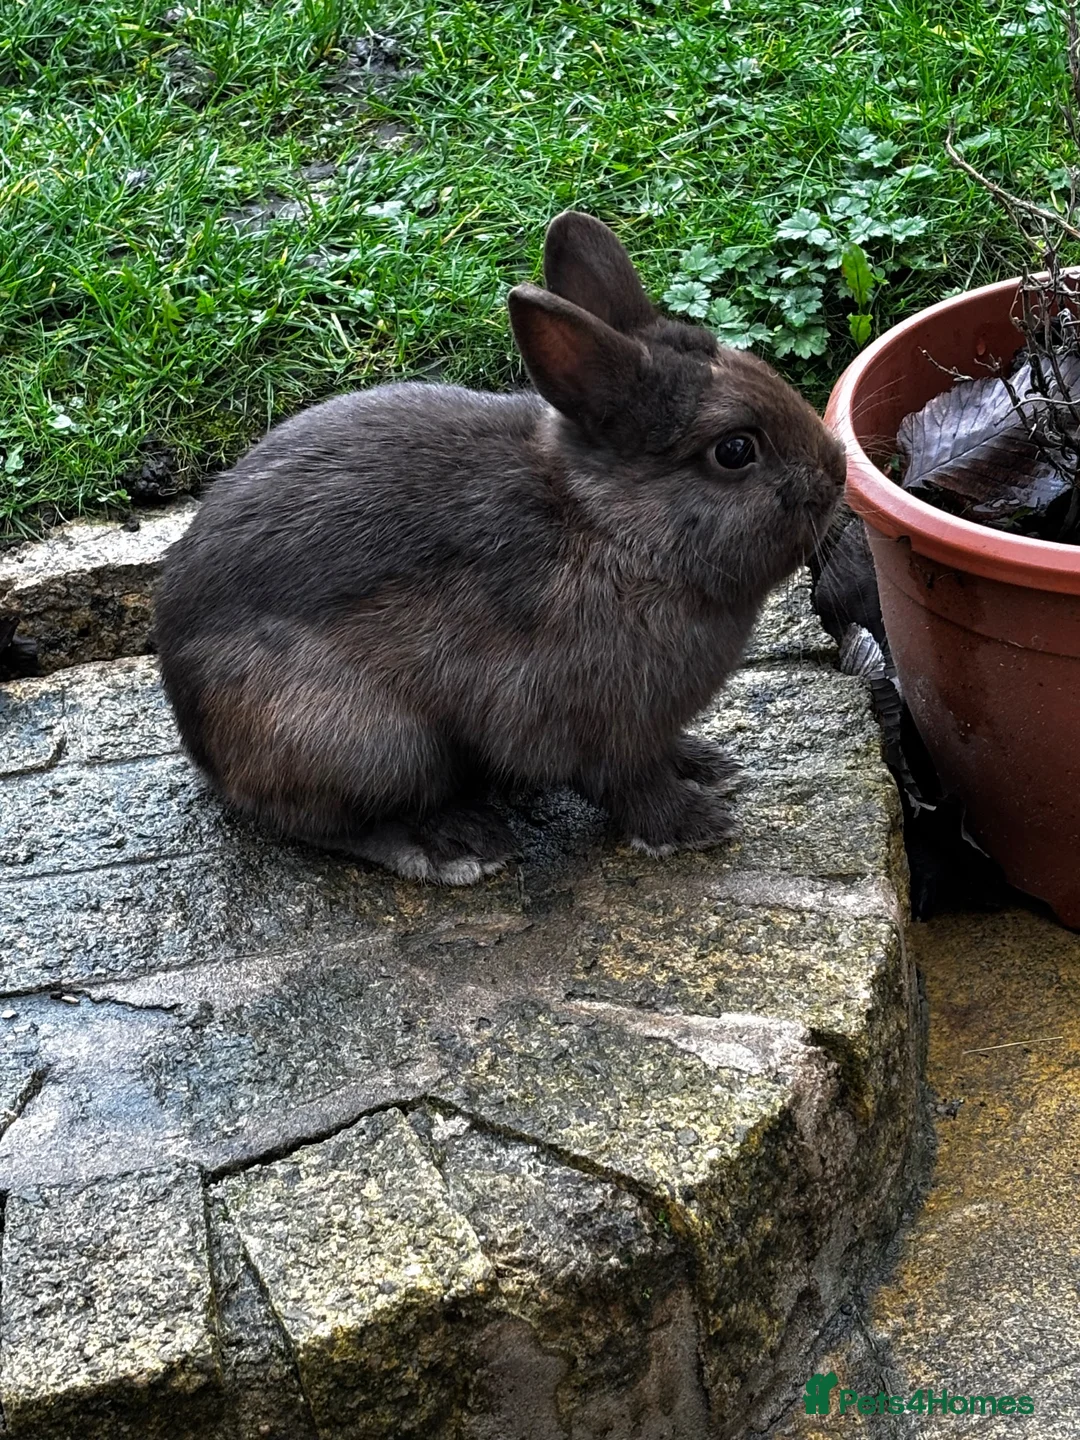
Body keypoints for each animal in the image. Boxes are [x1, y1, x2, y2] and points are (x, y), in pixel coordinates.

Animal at [155, 211, 846, 884]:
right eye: (734, 450)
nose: (837, 471)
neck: (610, 527)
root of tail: (200, 743)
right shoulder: (597, 724)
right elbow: (628, 784)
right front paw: (694, 826)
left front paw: (708, 767)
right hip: (370, 742)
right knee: (325, 822)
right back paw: (454, 847)